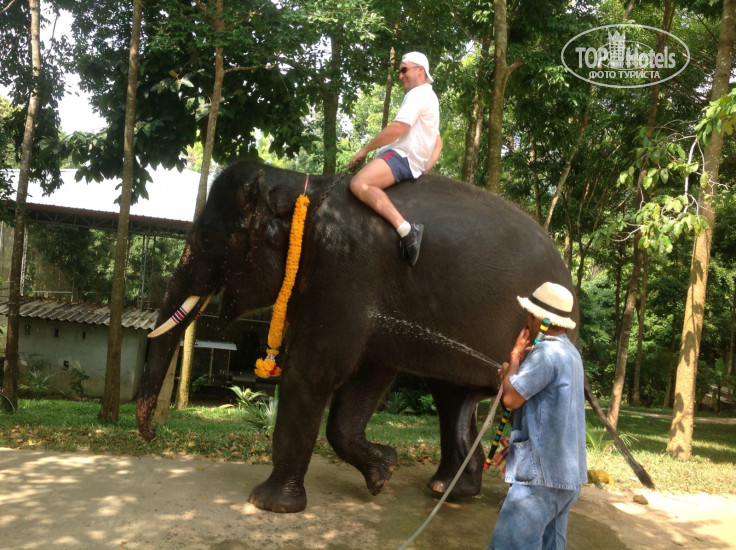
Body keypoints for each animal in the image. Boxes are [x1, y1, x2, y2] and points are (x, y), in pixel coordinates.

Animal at [137, 160, 651, 514]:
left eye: (207, 240)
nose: (150, 433)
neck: (302, 184)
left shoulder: (346, 266)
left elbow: (317, 368)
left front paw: (269, 504)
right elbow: (370, 373)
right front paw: (383, 472)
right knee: (453, 397)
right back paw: (448, 490)